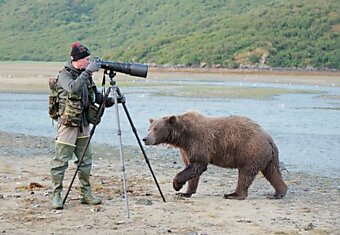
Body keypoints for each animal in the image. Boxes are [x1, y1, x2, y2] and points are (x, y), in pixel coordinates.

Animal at [142, 111, 288, 199]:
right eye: (149, 128)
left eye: (156, 129)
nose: (145, 139)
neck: (182, 136)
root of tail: (268, 138)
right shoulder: (186, 149)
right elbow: (192, 168)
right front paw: (186, 192)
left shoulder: (198, 142)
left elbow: (198, 165)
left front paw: (177, 185)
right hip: (269, 156)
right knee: (272, 172)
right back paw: (279, 192)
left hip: (250, 150)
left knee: (245, 173)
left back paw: (233, 194)